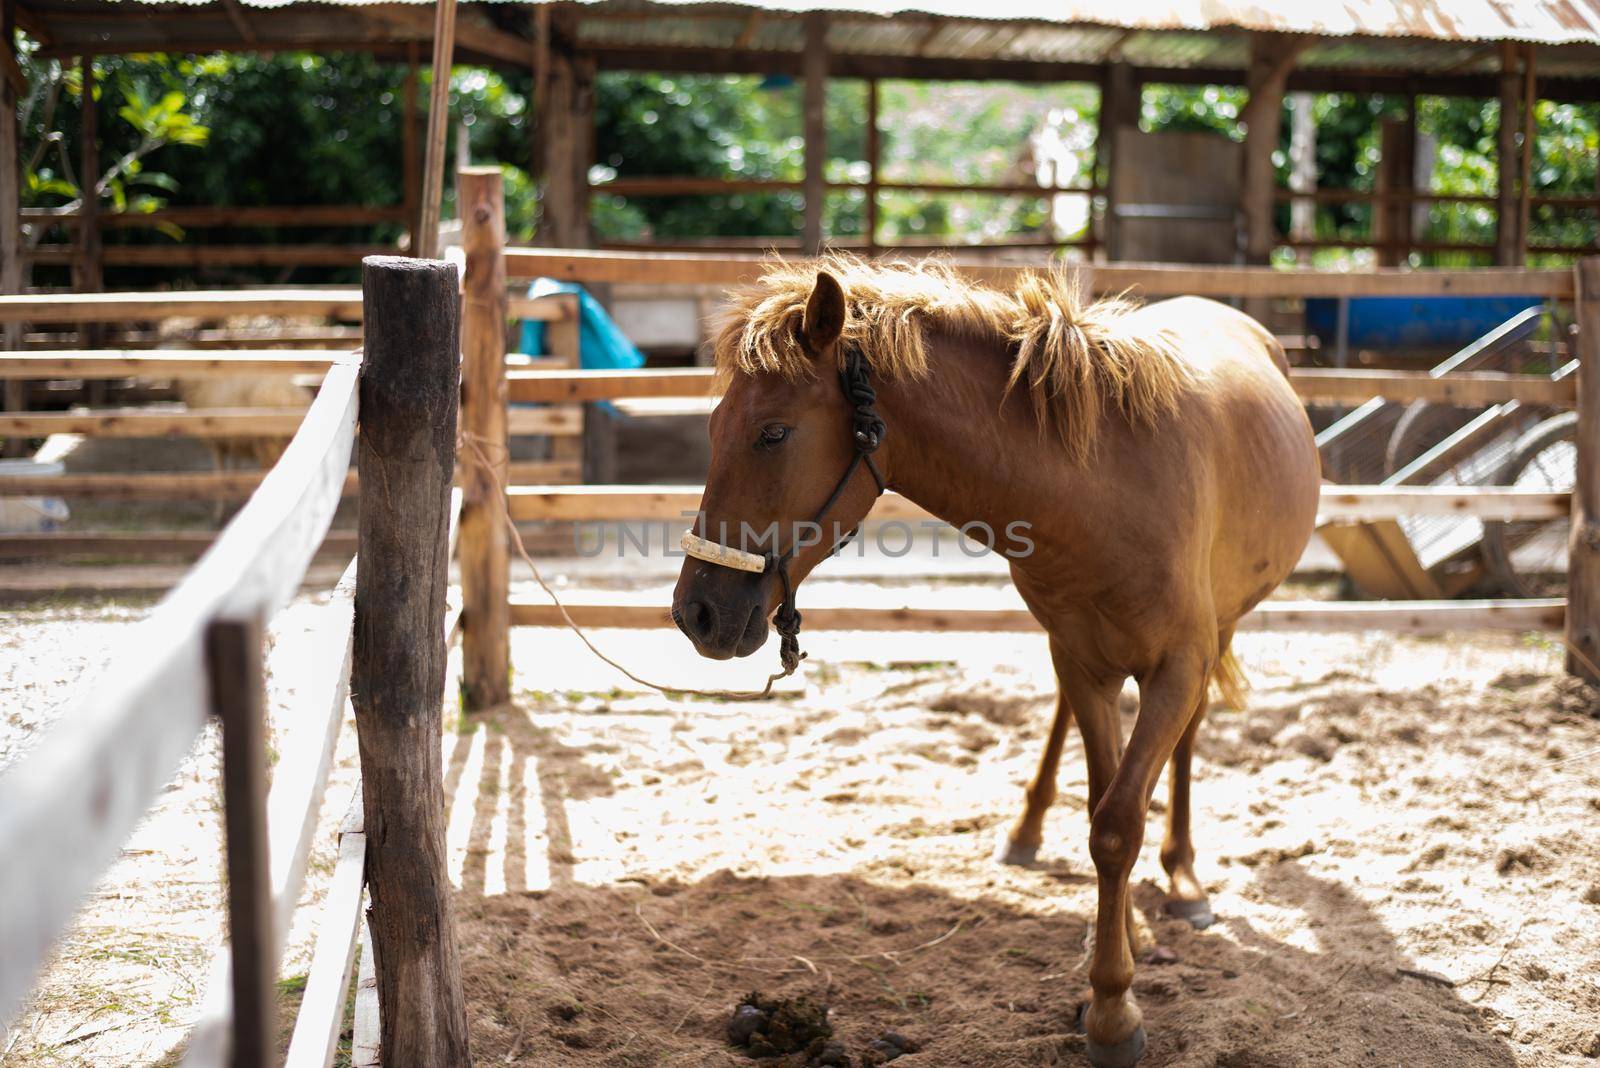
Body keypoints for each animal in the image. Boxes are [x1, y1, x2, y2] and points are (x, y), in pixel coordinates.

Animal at [668, 259, 1318, 1068]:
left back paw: (1183, 879)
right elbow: (1103, 809)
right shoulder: (1080, 658)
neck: (1107, 480)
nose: (696, 612)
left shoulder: (1178, 665)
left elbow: (1118, 825)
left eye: (773, 432)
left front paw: (1113, 1014)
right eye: (715, 427)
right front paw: (1113, 953)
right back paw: (1043, 842)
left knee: (1187, 741)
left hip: (1214, 634)